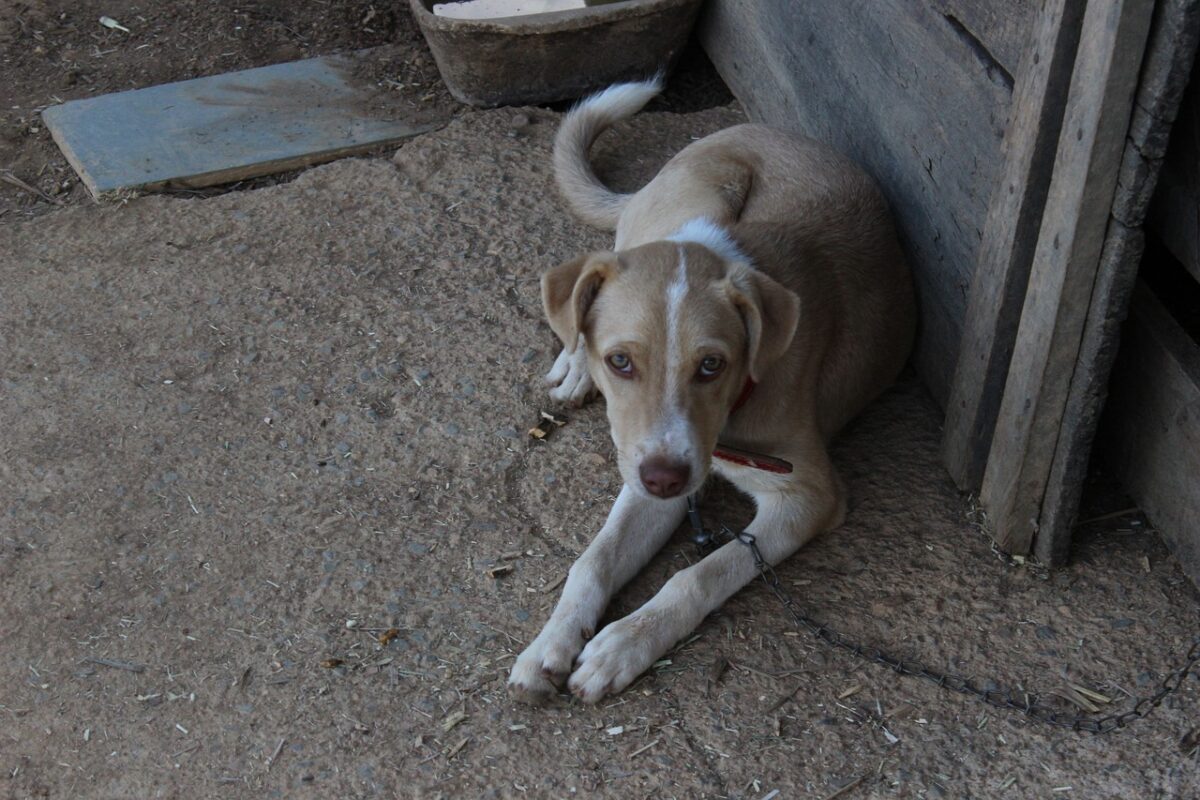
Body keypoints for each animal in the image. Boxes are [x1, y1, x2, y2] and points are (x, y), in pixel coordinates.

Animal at [508, 77, 916, 705]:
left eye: (711, 365)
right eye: (620, 361)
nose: (666, 479)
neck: (733, 412)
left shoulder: (807, 498)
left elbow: (698, 574)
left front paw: (622, 644)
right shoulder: (648, 466)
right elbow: (594, 560)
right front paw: (549, 643)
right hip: (698, 198)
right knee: (591, 277)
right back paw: (573, 362)